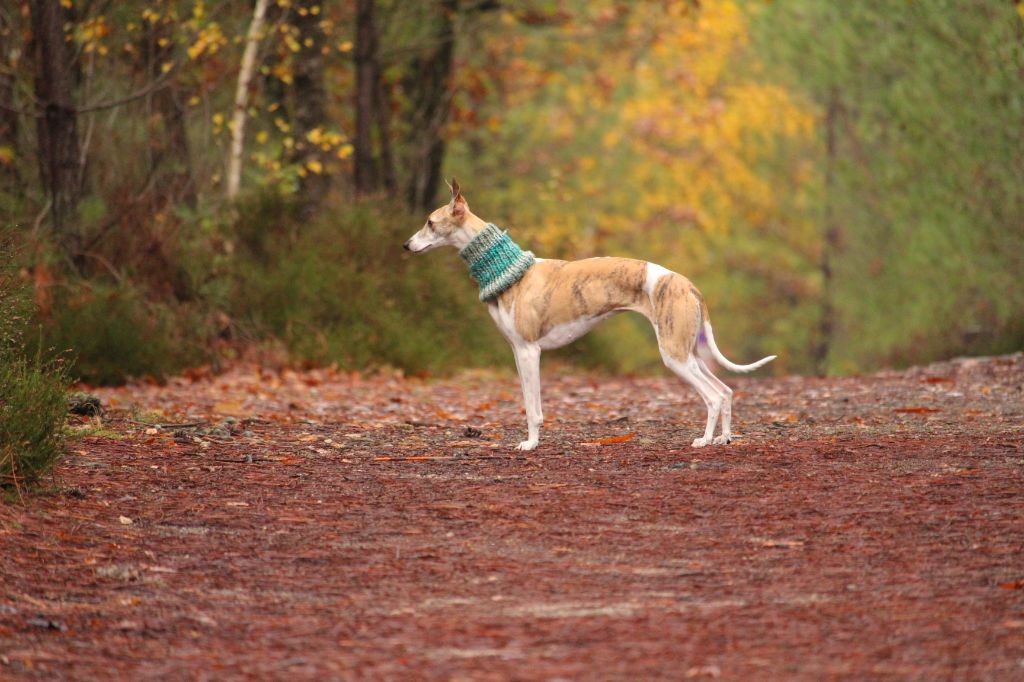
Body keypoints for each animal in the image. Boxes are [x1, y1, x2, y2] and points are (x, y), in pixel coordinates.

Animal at [403, 178, 770, 448]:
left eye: (430, 222)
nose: (406, 246)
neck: (510, 271)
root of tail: (688, 284)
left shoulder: (529, 351)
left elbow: (532, 408)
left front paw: (530, 444)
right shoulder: (518, 352)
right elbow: (529, 402)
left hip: (675, 355)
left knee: (712, 397)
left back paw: (704, 440)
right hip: (689, 351)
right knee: (725, 391)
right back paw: (723, 438)